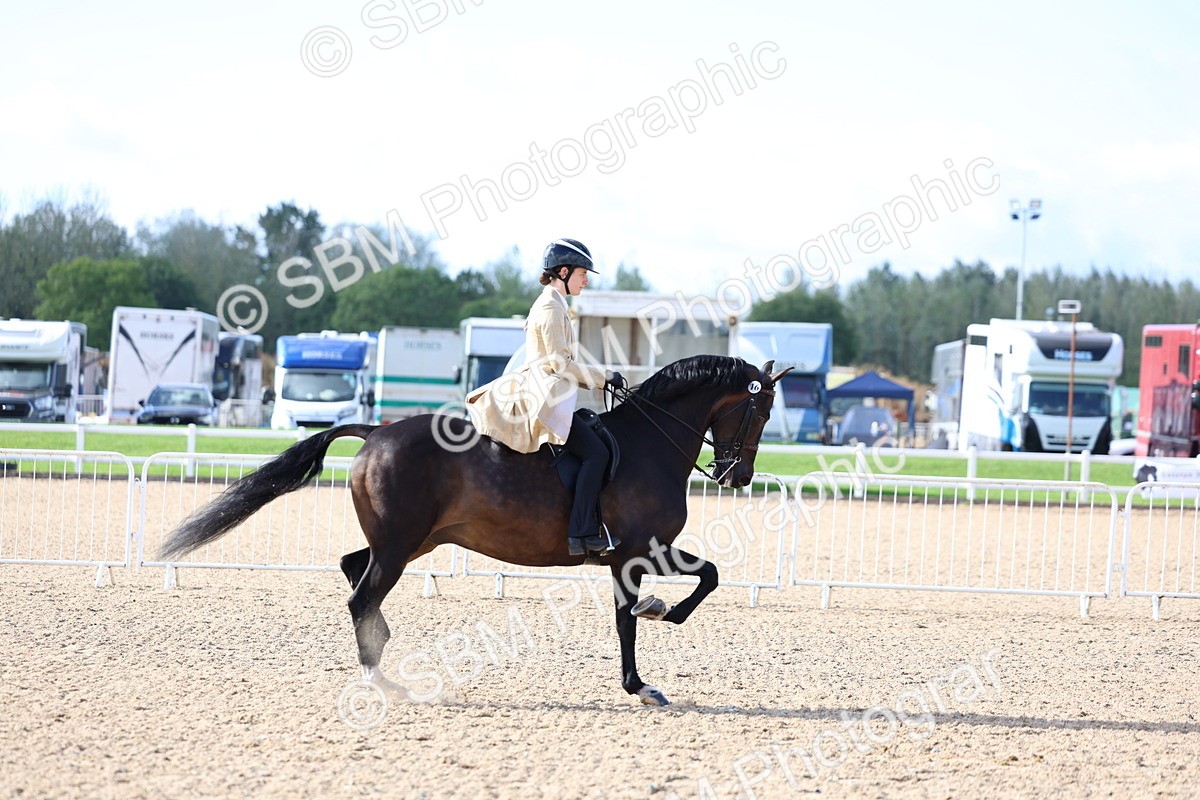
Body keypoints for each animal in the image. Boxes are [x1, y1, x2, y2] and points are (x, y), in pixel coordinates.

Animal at [160, 355, 789, 706]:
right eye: (759, 413)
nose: (739, 476)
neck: (647, 444)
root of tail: (375, 432)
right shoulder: (635, 551)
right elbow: (651, 608)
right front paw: (648, 658)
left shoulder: (638, 553)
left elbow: (696, 581)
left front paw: (654, 626)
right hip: (400, 546)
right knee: (360, 594)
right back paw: (379, 679)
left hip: (412, 542)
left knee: (353, 573)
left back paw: (381, 648)